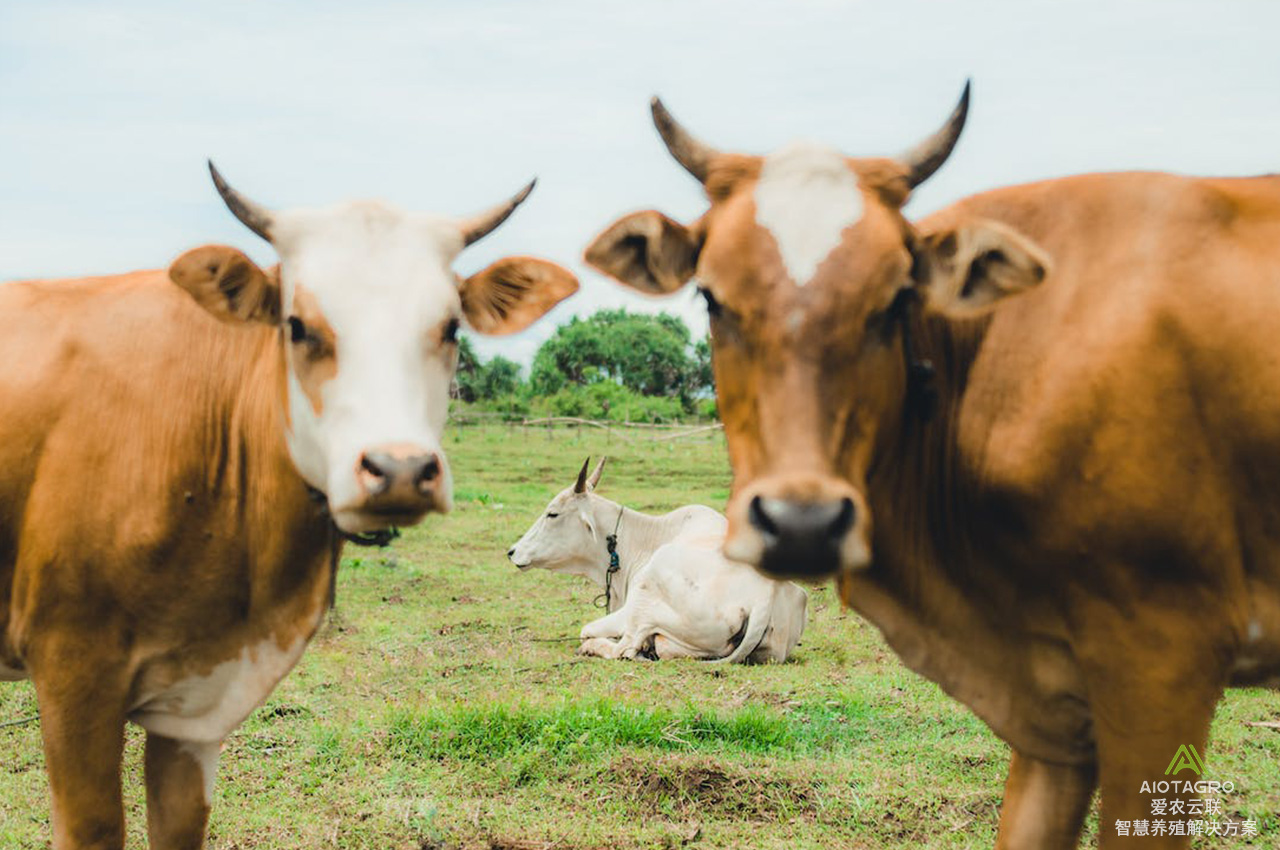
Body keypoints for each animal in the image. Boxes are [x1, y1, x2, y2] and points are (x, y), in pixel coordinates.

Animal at [504, 458, 803, 665]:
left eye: (552, 514)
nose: (512, 551)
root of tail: (763, 596)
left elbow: (587, 630)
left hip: (645, 600)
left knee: (623, 648)